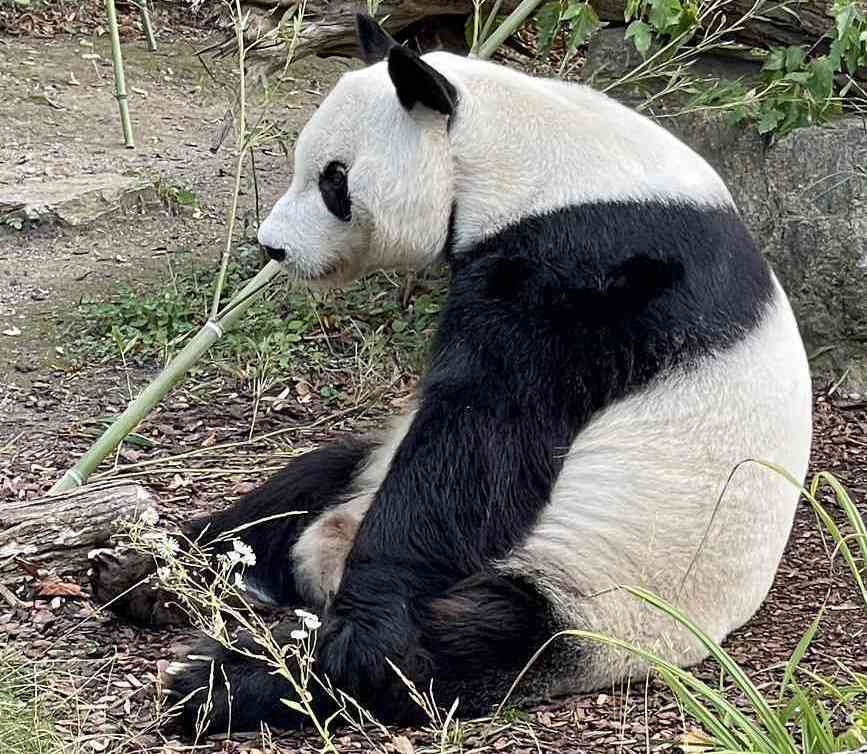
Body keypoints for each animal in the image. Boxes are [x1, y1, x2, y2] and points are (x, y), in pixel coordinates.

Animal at [90, 14, 812, 736]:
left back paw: (236, 679)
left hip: (602, 591)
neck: (519, 155)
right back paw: (147, 579)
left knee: (461, 645)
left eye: (333, 182)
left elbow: (483, 434)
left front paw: (360, 625)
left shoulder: (588, 272)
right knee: (303, 485)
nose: (274, 247)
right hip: (376, 475)